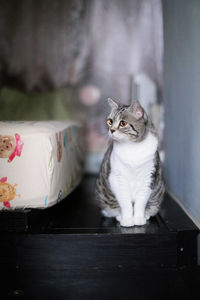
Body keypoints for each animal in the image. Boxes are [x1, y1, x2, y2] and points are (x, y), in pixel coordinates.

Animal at [96, 98, 165, 227]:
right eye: (110, 121)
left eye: (123, 123)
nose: (111, 130)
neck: (132, 147)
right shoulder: (117, 178)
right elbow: (125, 202)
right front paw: (127, 219)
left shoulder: (148, 177)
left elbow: (141, 202)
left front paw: (138, 218)